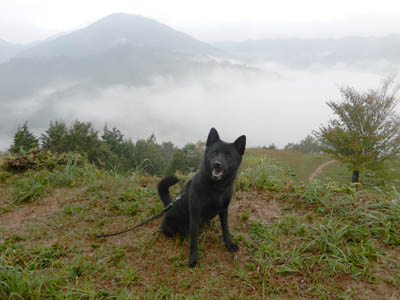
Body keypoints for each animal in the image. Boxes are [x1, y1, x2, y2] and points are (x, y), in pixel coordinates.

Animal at [157, 126, 245, 268]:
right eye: (214, 152)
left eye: (229, 155)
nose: (217, 164)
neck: (216, 188)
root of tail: (168, 206)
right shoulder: (195, 215)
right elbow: (194, 241)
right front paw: (193, 259)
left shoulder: (224, 211)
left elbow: (225, 229)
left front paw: (229, 244)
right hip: (172, 227)